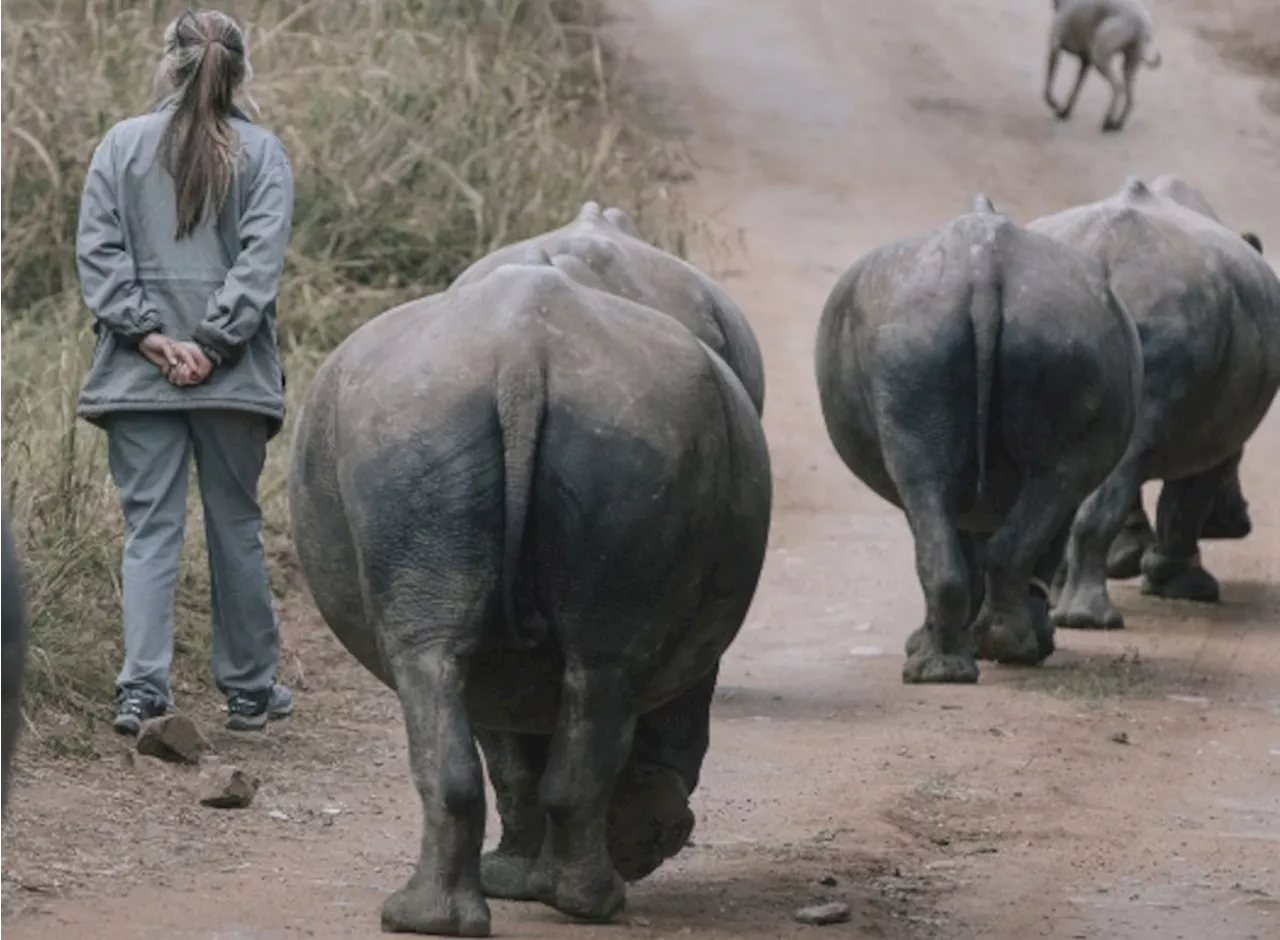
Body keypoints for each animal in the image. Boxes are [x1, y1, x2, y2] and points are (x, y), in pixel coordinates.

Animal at [290, 252, 768, 937]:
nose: (652, 844)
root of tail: (520, 356)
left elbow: (514, 750)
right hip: (481, 429)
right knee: (589, 671)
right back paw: (563, 903)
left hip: (441, 430)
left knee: (454, 663)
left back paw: (460, 914)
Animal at [814, 198, 1136, 686]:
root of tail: (984, 272)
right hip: (1045, 335)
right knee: (1042, 485)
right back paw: (993, 652)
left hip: (924, 338)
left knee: (937, 486)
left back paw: (942, 668)